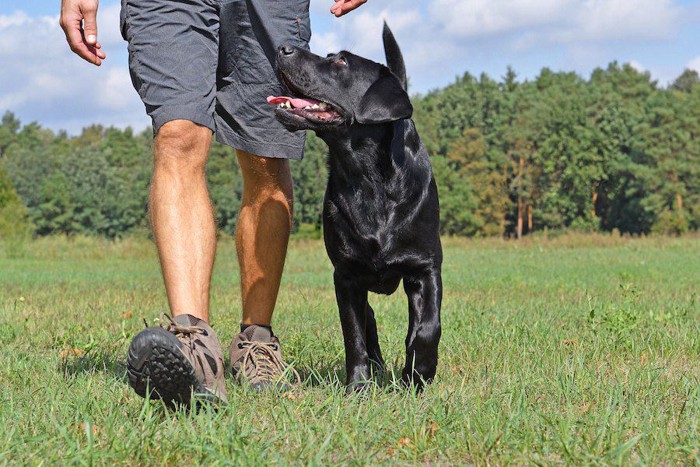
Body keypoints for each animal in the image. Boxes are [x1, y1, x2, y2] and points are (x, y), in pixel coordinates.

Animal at [270, 24, 442, 392]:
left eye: (341, 62)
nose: (282, 48)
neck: (368, 178)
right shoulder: (346, 276)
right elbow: (354, 334)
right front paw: (359, 386)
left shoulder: (425, 267)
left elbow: (426, 327)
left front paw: (418, 372)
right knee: (368, 321)